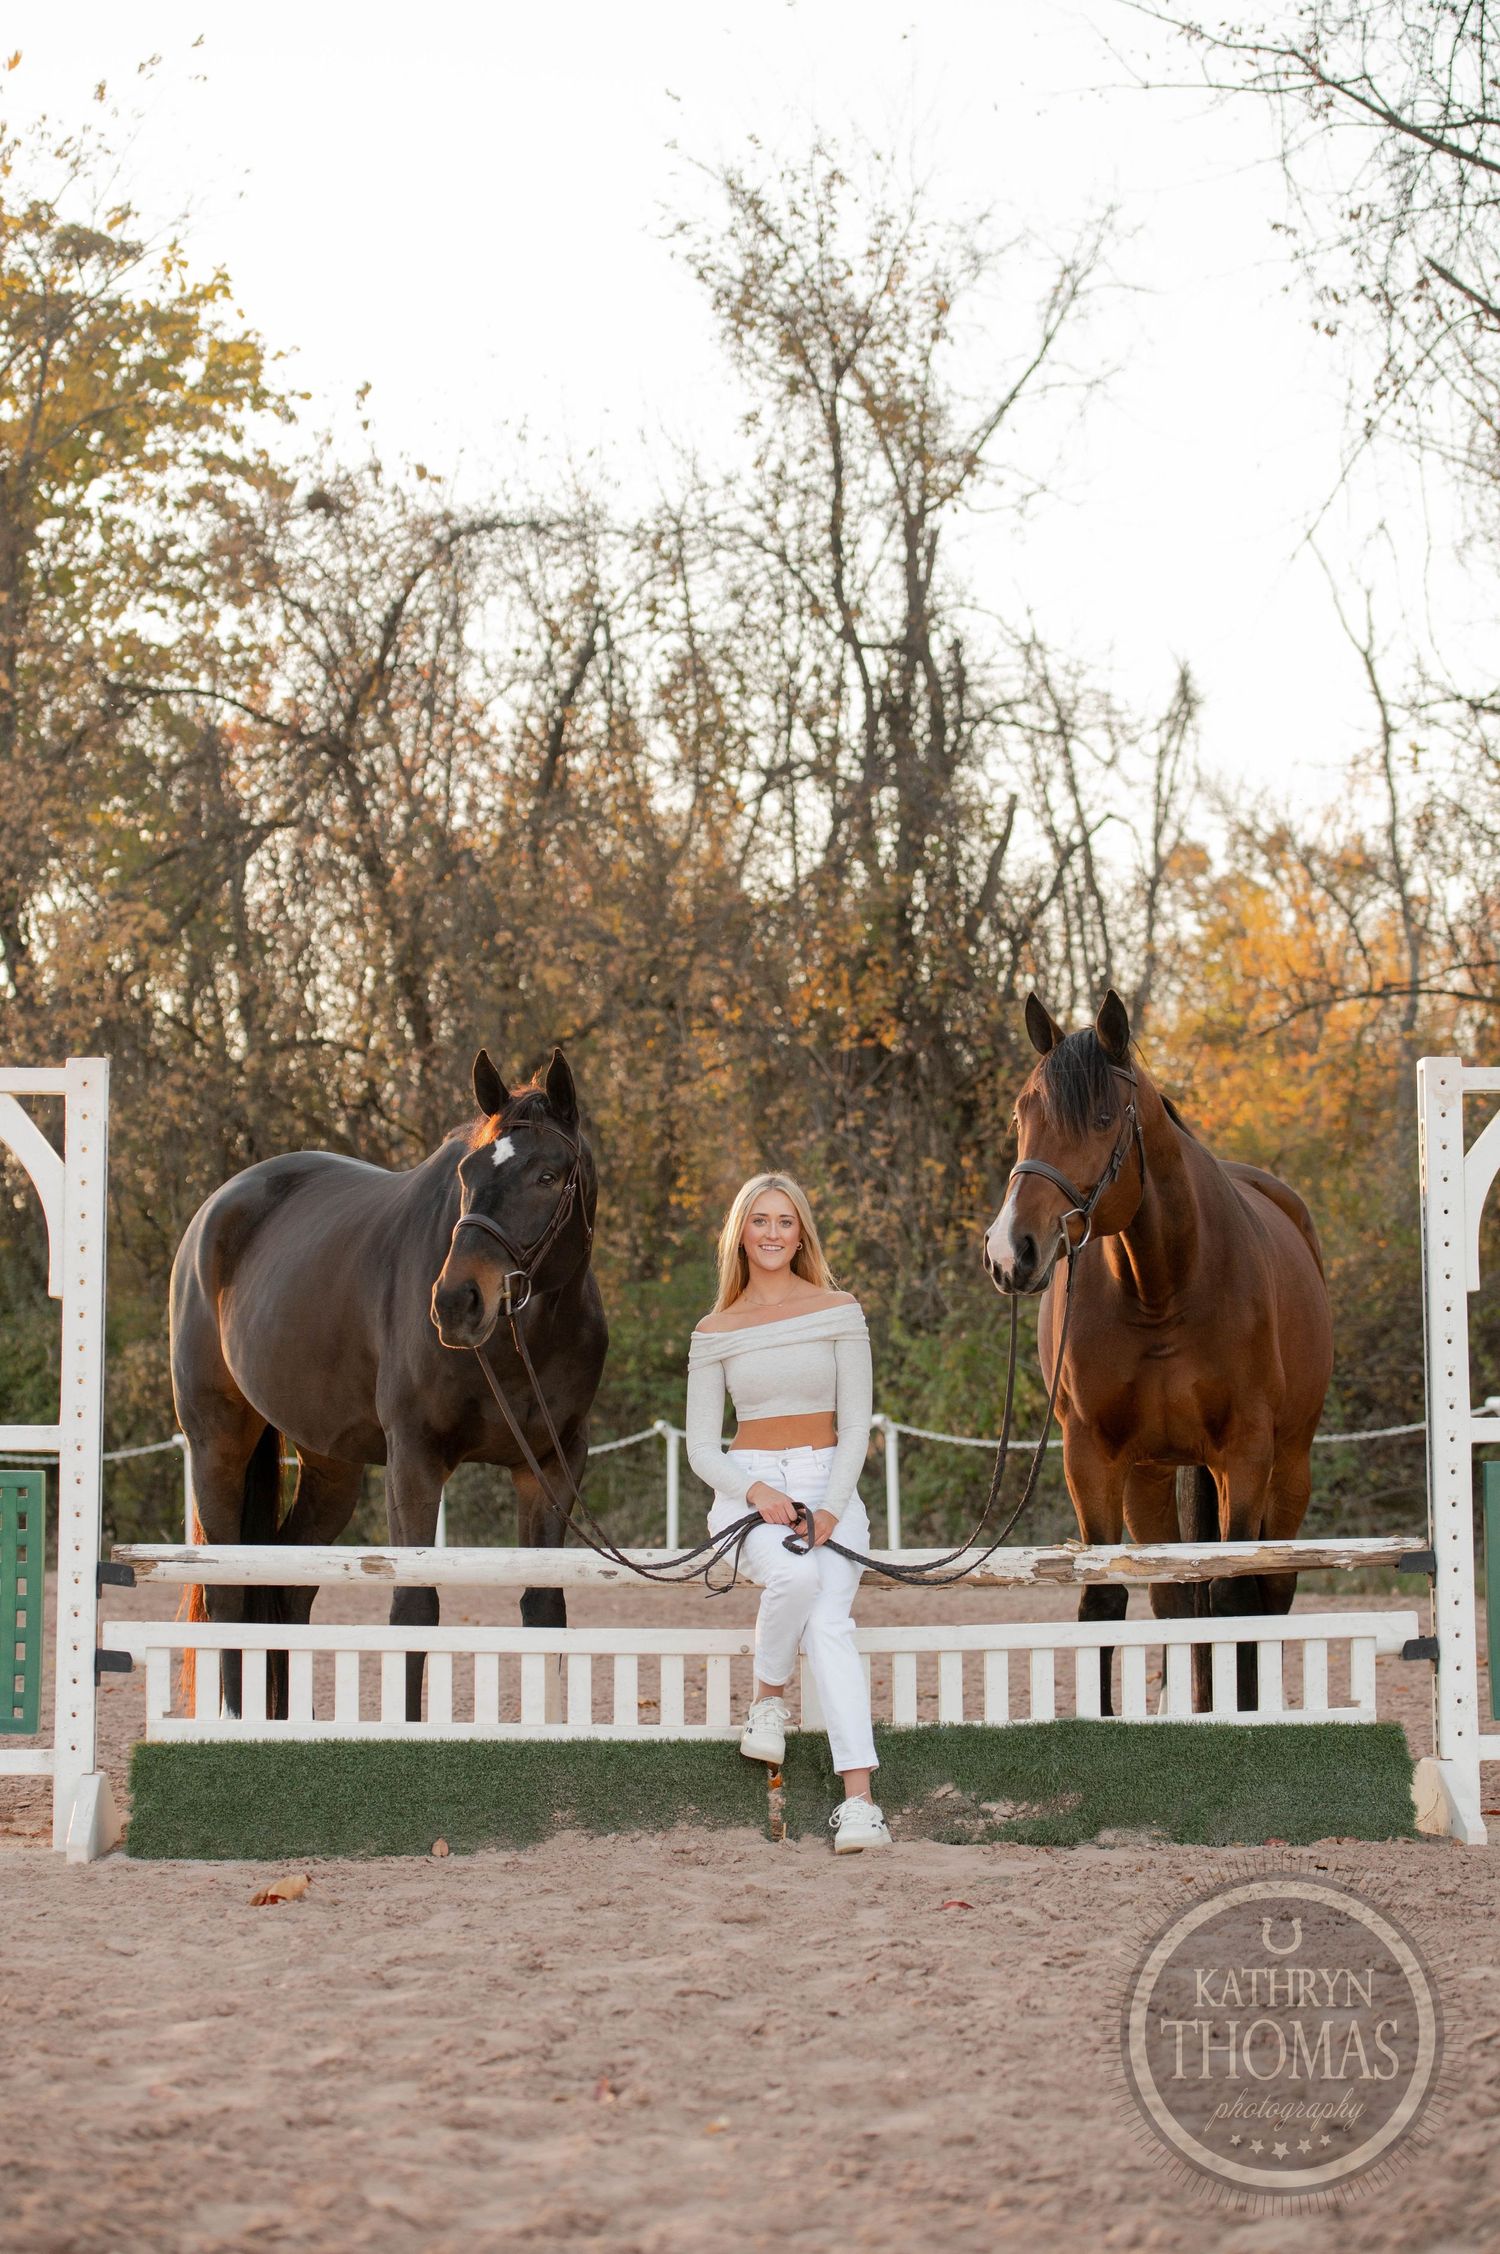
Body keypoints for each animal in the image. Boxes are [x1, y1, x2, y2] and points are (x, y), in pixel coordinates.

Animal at [170, 1047, 606, 1718]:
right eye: (467, 1174)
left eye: (548, 1176)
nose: (456, 1301)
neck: (522, 1342)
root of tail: (214, 1212)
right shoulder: (414, 1459)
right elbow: (414, 1608)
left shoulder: (552, 1467)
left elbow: (543, 1606)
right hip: (216, 1443)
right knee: (229, 1595)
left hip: (330, 1466)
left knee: (288, 1586)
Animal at [983, 990, 1332, 1713]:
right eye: (1021, 1113)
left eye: (1102, 1118)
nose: (1010, 1252)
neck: (1162, 1288)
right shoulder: (1092, 1457)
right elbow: (1104, 1602)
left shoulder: (1245, 1455)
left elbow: (1235, 1599)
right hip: (1147, 1479)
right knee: (1174, 1598)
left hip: (1289, 1468)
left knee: (1271, 1592)